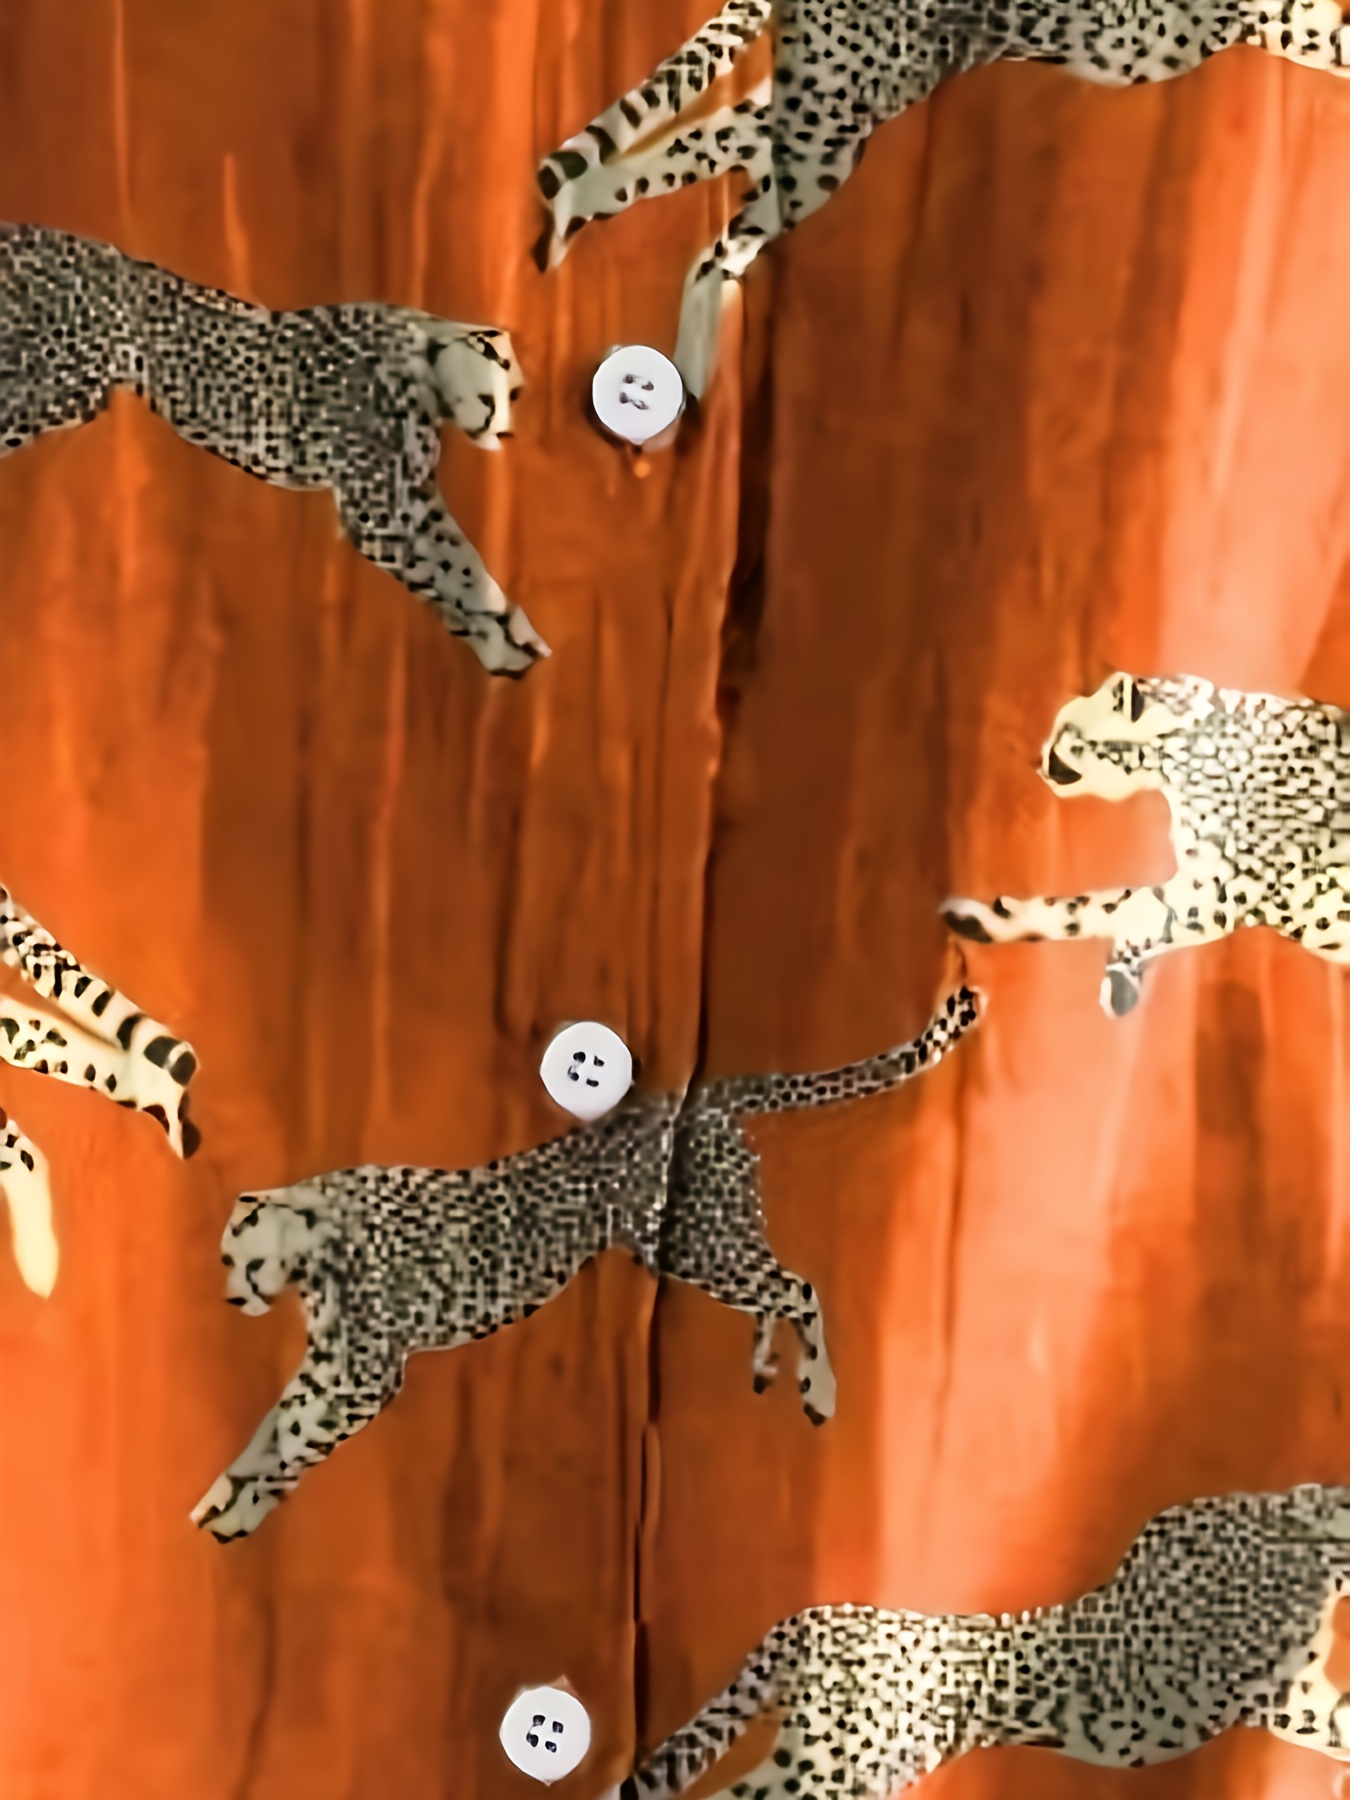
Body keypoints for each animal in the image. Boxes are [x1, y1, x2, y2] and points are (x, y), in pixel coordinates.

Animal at [0, 222, 548, 675]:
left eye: (517, 397)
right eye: (502, 394)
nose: (505, 433)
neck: (426, 362)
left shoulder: (413, 501)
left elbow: (456, 563)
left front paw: (507, 634)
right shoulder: (382, 516)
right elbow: (453, 570)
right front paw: (497, 635)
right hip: (55, 389)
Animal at [190, 984, 979, 1541]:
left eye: (241, 1264)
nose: (231, 1299)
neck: (316, 1232)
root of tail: (691, 1093)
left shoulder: (363, 1377)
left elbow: (289, 1443)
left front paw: (241, 1508)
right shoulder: (329, 1366)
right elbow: (272, 1428)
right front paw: (221, 1496)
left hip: (699, 1244)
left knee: (799, 1287)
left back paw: (821, 1390)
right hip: (704, 1243)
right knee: (774, 1291)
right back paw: (768, 1366)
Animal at [537, 0, 1350, 399]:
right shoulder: (1263, 15)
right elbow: (1329, 35)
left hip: (811, 116)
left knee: (662, 167)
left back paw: (575, 221)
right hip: (824, 140)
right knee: (716, 247)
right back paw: (690, 371)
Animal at [608, 1481, 1350, 1800]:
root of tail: (816, 1614)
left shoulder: (1295, 1697)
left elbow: (1336, 1722)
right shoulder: (1272, 1688)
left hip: (844, 1767)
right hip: (831, 1766)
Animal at [942, 671, 1350, 1017]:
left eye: (1058, 755)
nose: (1037, 766)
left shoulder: (1212, 895)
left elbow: (1100, 909)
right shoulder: (1207, 892)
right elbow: (1117, 912)